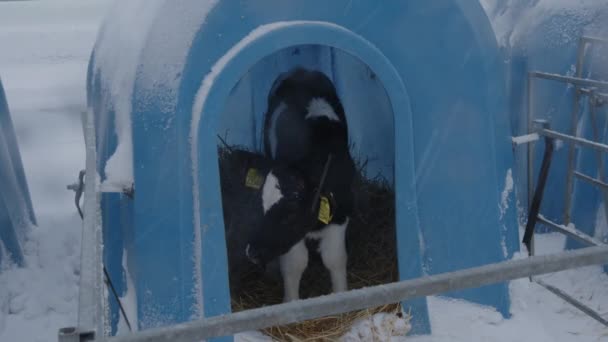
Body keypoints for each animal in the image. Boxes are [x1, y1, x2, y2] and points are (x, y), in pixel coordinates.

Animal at [243, 69, 354, 302]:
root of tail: (301, 71)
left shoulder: (342, 212)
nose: (252, 252)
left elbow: (335, 258)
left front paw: (343, 295)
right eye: (261, 207)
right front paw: (291, 302)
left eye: (289, 215)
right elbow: (295, 264)